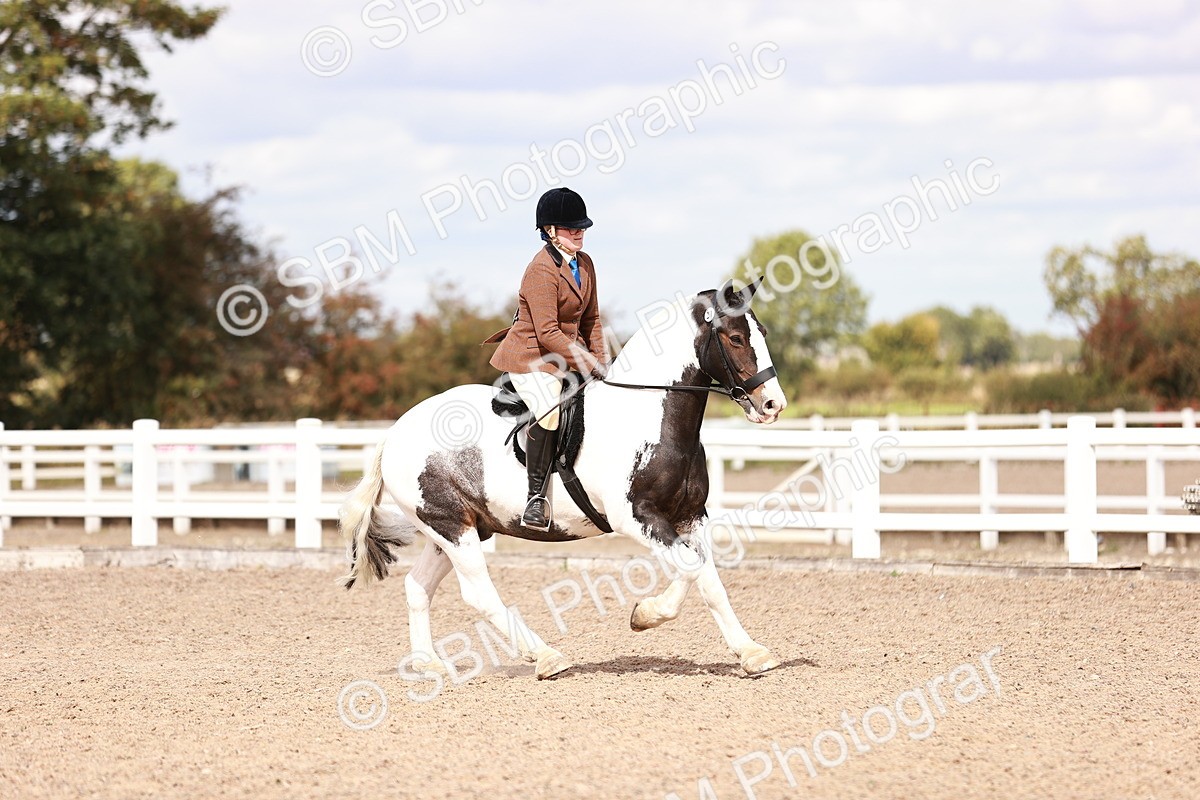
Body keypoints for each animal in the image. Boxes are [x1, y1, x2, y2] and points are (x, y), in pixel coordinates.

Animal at [339, 279, 788, 680]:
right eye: (735, 337)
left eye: (762, 333)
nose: (772, 405)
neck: (651, 415)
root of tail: (393, 433)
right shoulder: (636, 518)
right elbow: (691, 568)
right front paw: (645, 615)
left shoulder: (690, 517)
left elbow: (708, 579)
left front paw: (751, 653)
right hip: (451, 528)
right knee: (478, 593)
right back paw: (546, 657)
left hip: (454, 529)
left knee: (418, 587)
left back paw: (428, 664)